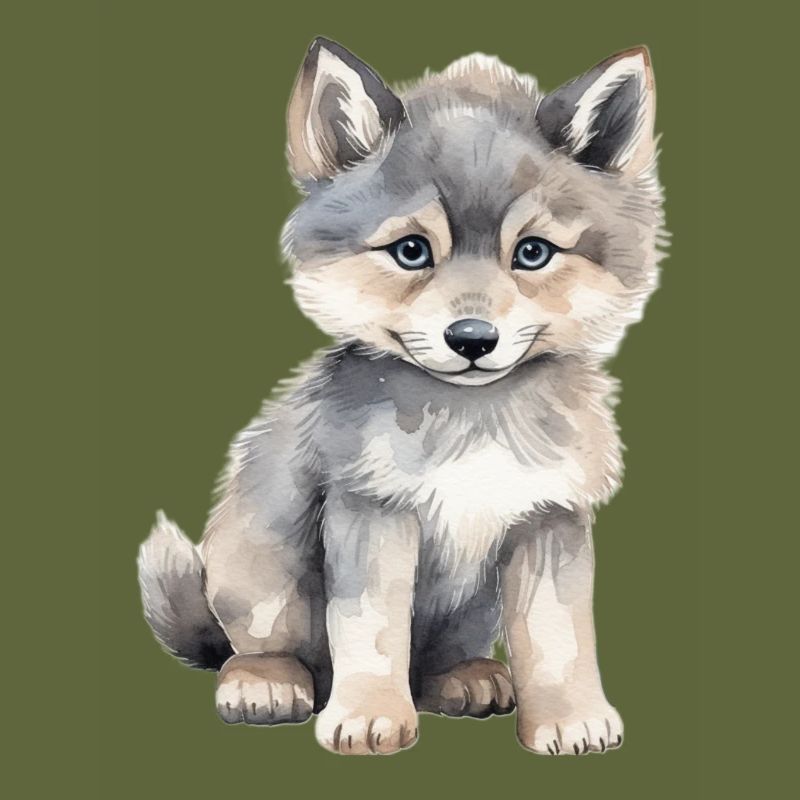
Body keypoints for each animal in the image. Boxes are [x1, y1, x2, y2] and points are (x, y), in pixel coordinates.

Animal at [138, 38, 665, 756]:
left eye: (532, 254)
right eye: (412, 251)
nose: (472, 338)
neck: (474, 420)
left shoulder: (548, 516)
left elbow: (558, 636)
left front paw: (568, 719)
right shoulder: (371, 511)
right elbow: (372, 630)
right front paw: (368, 717)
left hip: (472, 609)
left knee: (435, 660)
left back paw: (466, 678)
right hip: (261, 568)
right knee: (251, 646)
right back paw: (265, 683)